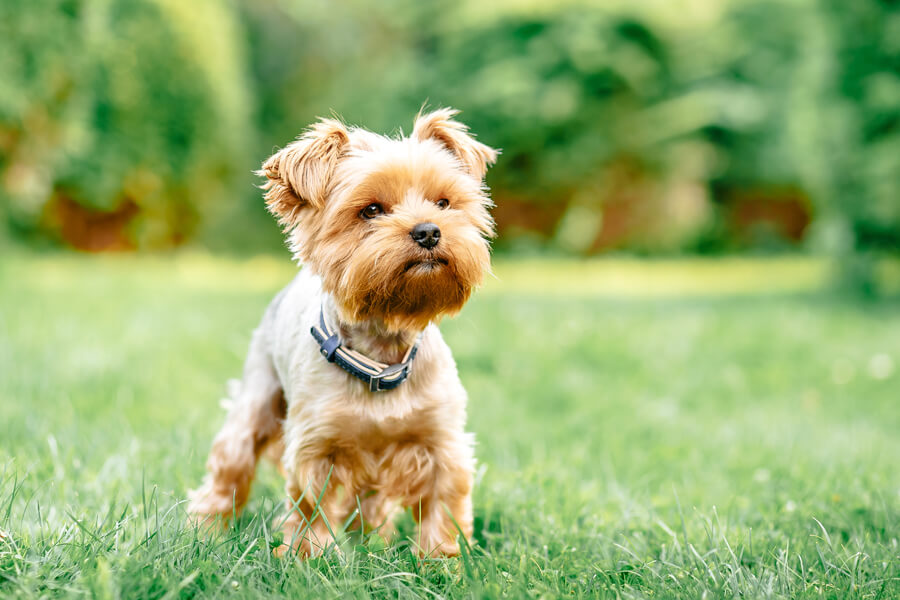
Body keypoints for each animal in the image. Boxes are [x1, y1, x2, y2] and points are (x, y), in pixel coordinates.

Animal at [187, 109, 500, 556]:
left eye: (444, 202)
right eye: (370, 210)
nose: (428, 230)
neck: (382, 352)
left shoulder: (441, 443)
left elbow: (443, 508)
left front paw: (440, 563)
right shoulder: (317, 445)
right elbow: (312, 509)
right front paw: (311, 559)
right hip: (255, 397)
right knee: (231, 464)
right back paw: (206, 530)